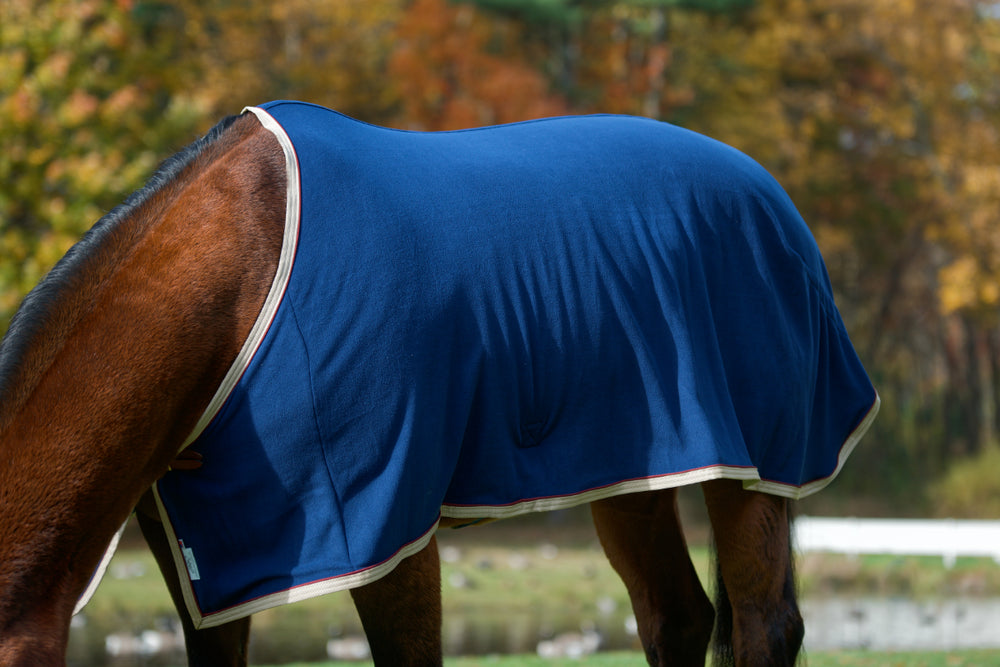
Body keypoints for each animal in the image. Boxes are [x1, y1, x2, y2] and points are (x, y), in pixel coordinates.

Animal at [0, 107, 872, 664]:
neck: (246, 280)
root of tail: (770, 198)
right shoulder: (210, 550)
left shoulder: (384, 527)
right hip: (636, 474)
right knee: (676, 617)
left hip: (756, 470)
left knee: (761, 627)